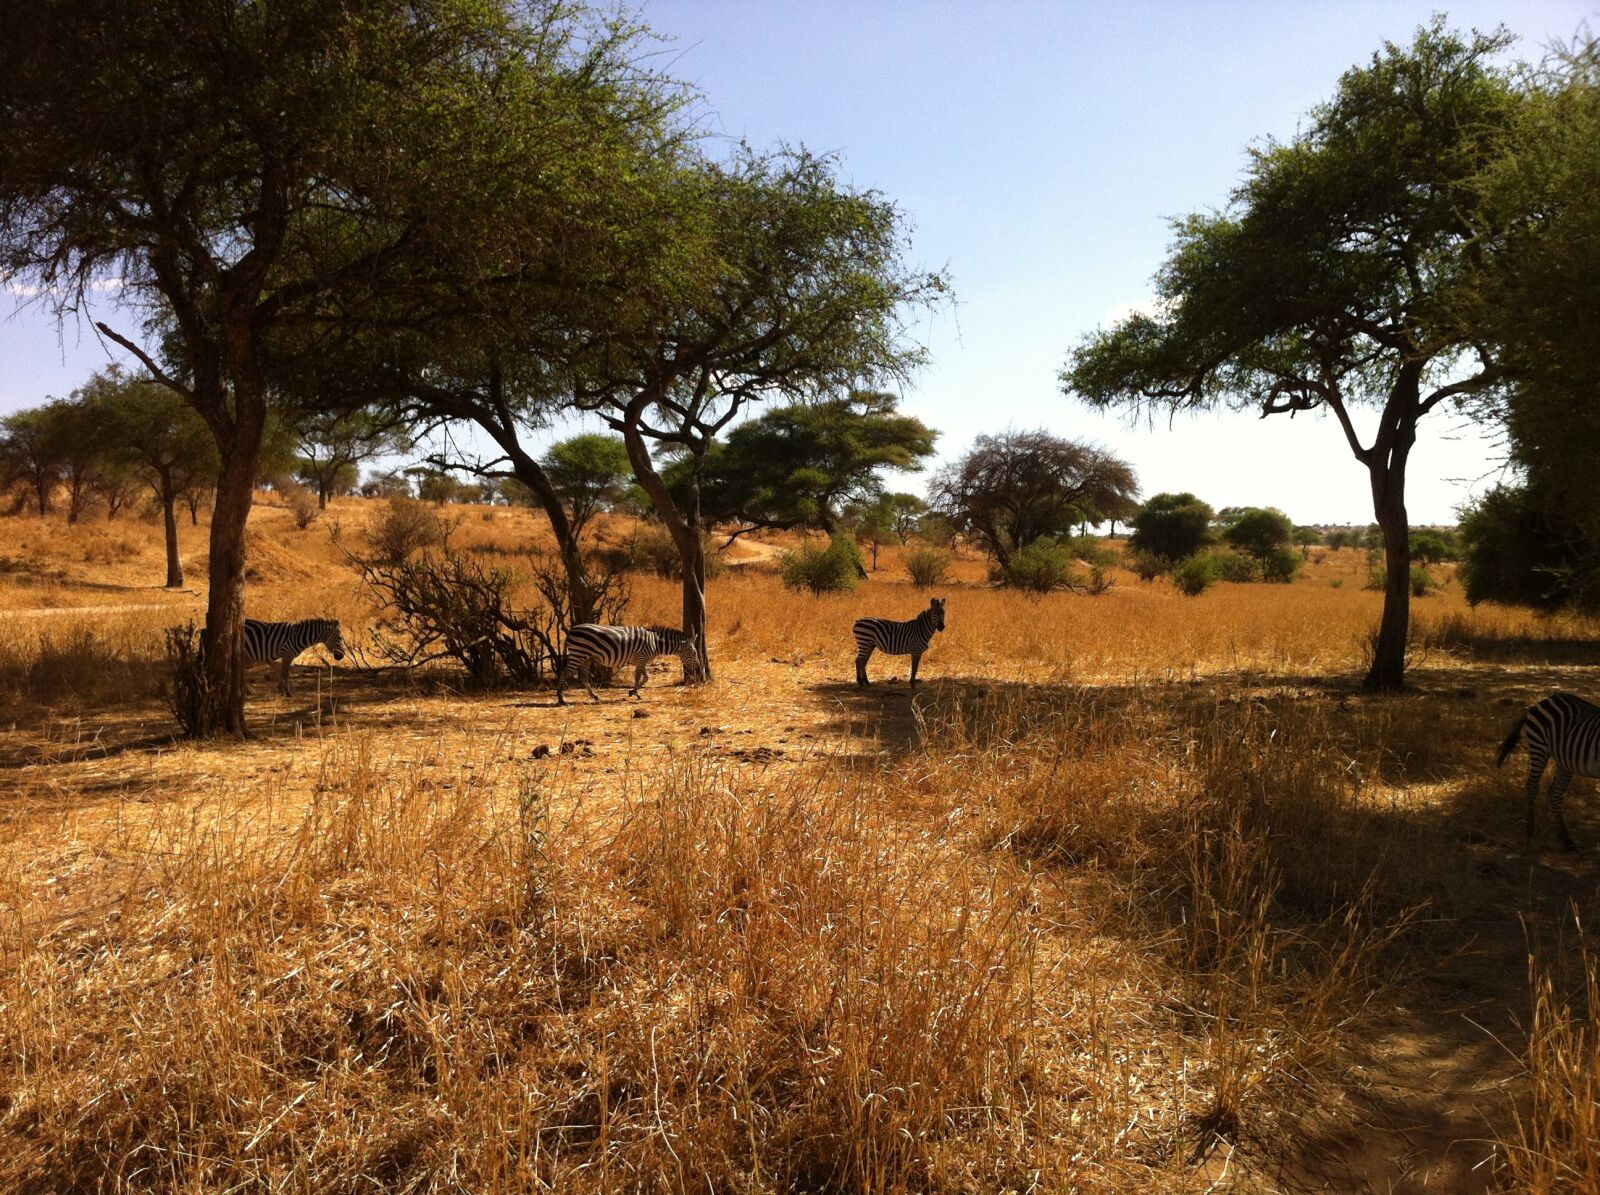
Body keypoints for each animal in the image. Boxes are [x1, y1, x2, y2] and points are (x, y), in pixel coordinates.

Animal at [557, 624, 701, 704]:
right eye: (694, 653)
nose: (699, 668)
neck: (655, 643)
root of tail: (571, 630)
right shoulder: (642, 657)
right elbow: (638, 677)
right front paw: (634, 693)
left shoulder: (642, 660)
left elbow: (646, 677)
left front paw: (633, 692)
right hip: (579, 653)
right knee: (564, 672)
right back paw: (560, 698)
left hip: (586, 656)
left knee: (583, 676)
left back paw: (594, 696)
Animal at [1497, 692, 1600, 851]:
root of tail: (1545, 700)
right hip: (1539, 748)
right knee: (1532, 786)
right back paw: (1530, 832)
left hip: (1565, 761)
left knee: (1555, 792)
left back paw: (1565, 839)